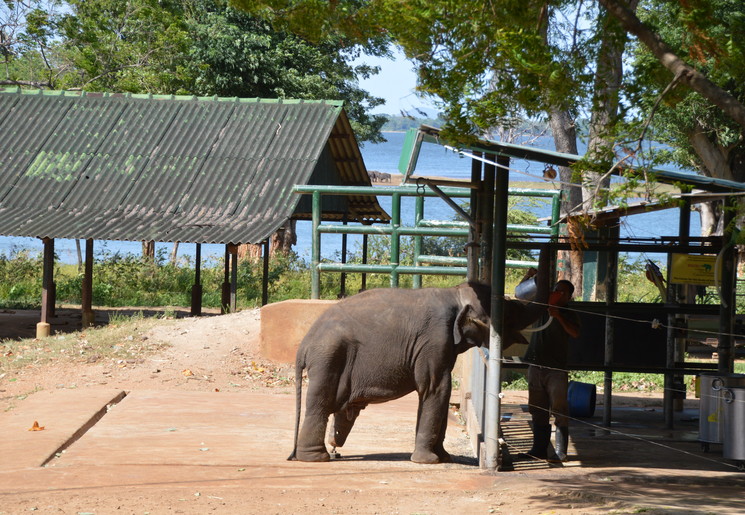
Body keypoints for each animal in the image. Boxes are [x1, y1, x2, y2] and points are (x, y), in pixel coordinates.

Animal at [288, 248, 548, 466]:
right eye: (507, 313)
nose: (533, 272)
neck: (455, 293)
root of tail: (304, 345)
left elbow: (440, 392)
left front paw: (444, 457)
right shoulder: (434, 339)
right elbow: (435, 388)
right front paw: (429, 461)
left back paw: (327, 450)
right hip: (328, 357)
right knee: (320, 402)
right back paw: (317, 458)